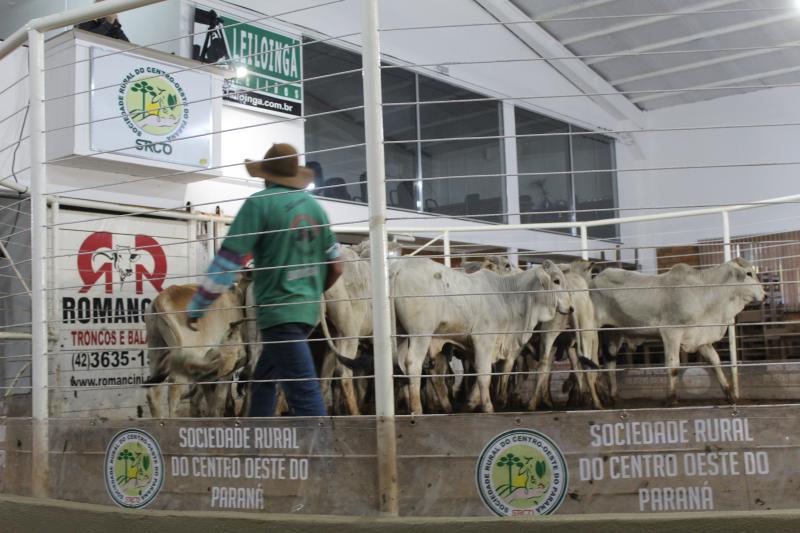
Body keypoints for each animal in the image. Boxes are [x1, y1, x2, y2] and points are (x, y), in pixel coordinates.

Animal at [392, 260, 568, 414]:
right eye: (556, 280)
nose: (571, 307)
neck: (506, 298)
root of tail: (398, 267)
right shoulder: (484, 340)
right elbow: (484, 374)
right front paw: (488, 408)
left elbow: (478, 374)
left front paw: (470, 404)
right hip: (420, 334)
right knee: (413, 363)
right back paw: (417, 409)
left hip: (401, 336)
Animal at [592, 258, 764, 404]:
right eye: (749, 273)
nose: (764, 294)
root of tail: (595, 278)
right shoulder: (671, 333)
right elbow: (673, 365)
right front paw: (672, 398)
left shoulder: (700, 338)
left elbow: (715, 361)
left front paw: (730, 394)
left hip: (613, 332)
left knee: (610, 362)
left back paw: (614, 396)